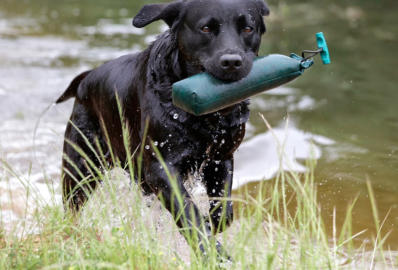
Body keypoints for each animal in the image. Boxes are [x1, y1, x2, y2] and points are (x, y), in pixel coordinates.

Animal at [56, 0, 268, 258]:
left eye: (248, 28)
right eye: (206, 28)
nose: (232, 62)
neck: (203, 118)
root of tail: (85, 79)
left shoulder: (222, 157)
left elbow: (223, 209)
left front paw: (213, 226)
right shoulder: (161, 167)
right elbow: (188, 212)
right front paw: (211, 252)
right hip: (81, 165)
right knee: (71, 207)